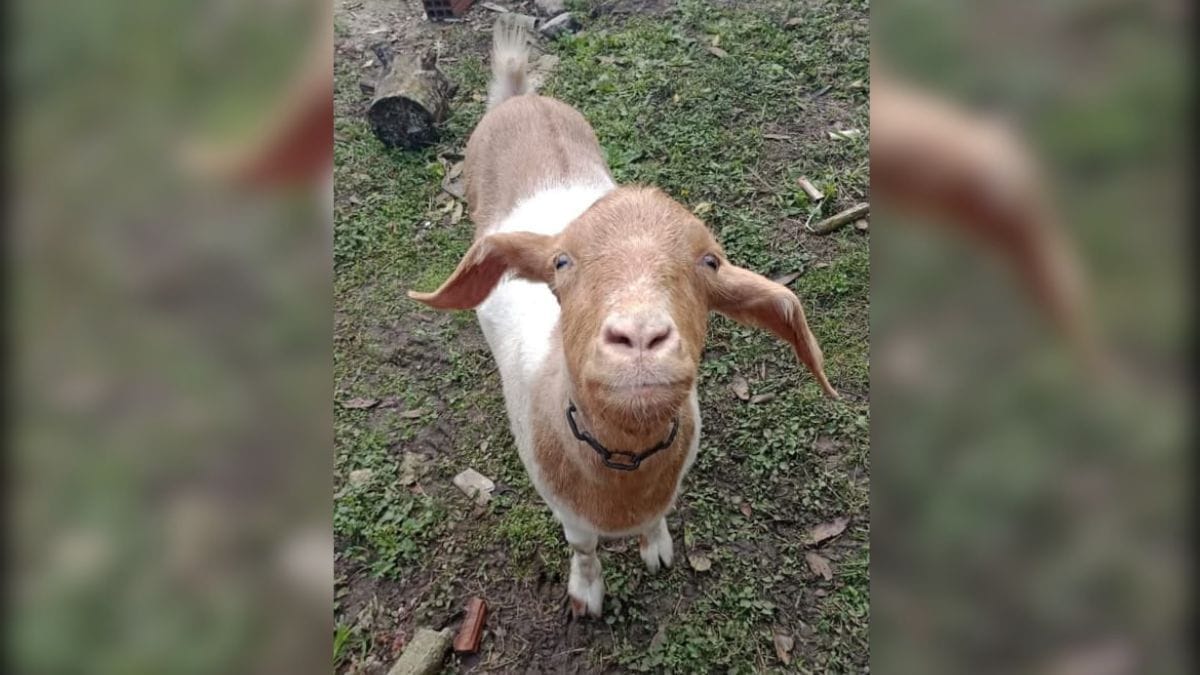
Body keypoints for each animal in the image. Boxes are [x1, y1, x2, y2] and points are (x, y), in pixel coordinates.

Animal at [410, 15, 838, 618]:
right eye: (561, 262)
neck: (622, 469)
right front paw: (586, 593)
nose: (639, 336)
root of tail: (520, 98)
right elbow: (582, 547)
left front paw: (655, 548)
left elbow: (657, 520)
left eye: (710, 261)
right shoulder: (565, 507)